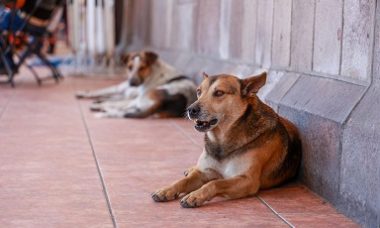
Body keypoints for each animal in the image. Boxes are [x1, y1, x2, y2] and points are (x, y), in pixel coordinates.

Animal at [150, 72, 302, 208]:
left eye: (219, 93)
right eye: (198, 92)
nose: (190, 110)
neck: (221, 140)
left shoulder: (247, 180)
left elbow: (215, 183)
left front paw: (195, 195)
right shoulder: (205, 172)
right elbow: (182, 181)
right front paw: (166, 190)